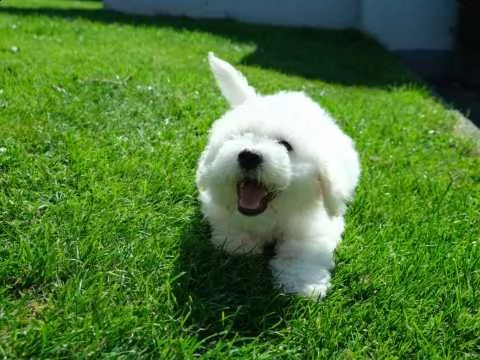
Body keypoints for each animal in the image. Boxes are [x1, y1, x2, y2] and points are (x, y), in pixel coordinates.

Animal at [196, 52, 360, 298]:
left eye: (285, 145)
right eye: (239, 137)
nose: (249, 156)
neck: (271, 215)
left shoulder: (315, 225)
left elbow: (302, 250)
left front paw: (303, 285)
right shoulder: (219, 207)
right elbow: (231, 226)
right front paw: (239, 243)